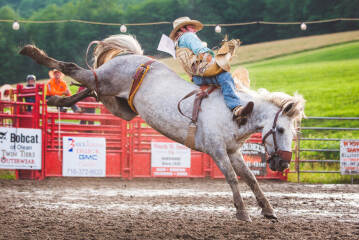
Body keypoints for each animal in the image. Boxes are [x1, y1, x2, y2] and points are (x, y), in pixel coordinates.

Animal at [19, 33, 306, 221]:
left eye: (294, 133)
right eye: (281, 130)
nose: (283, 163)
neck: (233, 112)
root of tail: (136, 57)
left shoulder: (233, 152)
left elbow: (250, 178)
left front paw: (268, 210)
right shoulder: (216, 151)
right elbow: (234, 179)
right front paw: (242, 212)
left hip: (121, 106)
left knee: (91, 90)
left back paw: (57, 100)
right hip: (108, 82)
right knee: (73, 69)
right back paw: (31, 52)